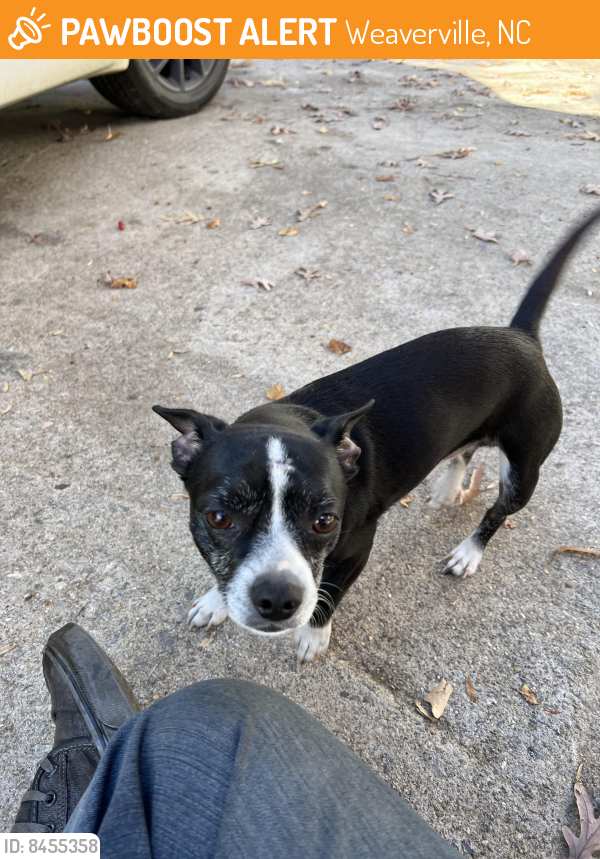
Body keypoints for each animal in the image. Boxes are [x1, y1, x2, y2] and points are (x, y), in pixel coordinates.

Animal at [154, 210, 596, 664]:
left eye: (325, 521)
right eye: (218, 518)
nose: (277, 599)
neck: (289, 416)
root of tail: (522, 338)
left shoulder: (356, 550)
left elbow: (330, 596)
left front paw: (314, 635)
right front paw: (215, 600)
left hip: (523, 472)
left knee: (497, 511)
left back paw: (468, 553)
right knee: (464, 451)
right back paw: (448, 487)